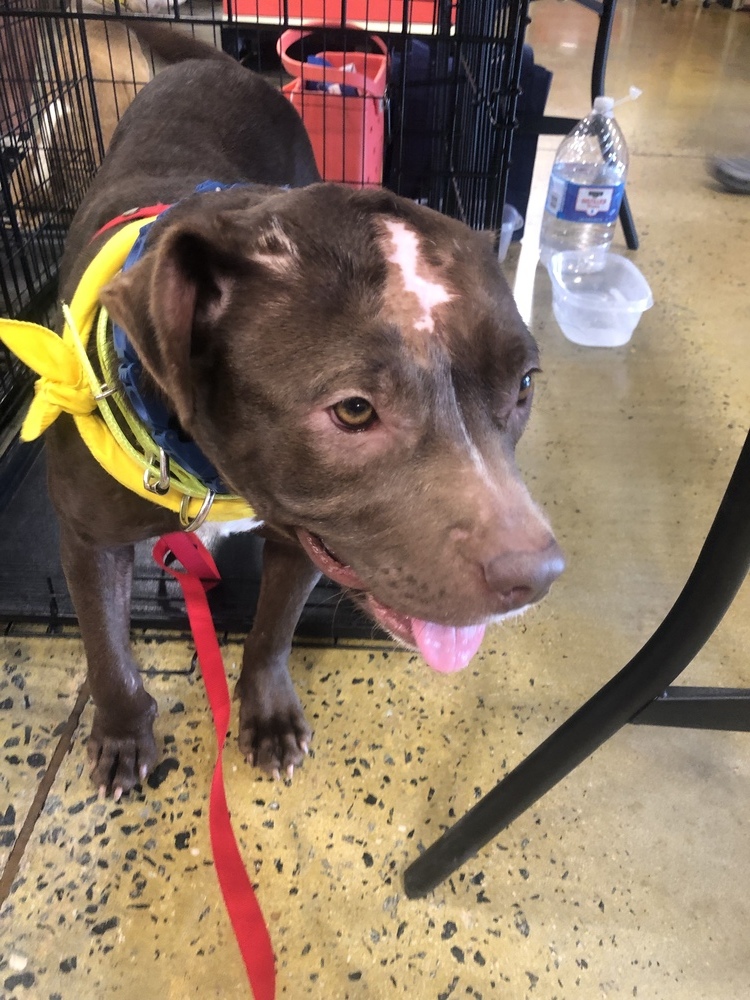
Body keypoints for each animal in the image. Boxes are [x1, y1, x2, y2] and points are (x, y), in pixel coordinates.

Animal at [44, 54, 564, 800]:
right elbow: (105, 646)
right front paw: (120, 732)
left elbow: (272, 631)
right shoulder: (88, 541)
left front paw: (267, 716)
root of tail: (213, 60)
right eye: (353, 410)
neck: (210, 473)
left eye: (523, 385)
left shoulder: (305, 542)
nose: (538, 576)